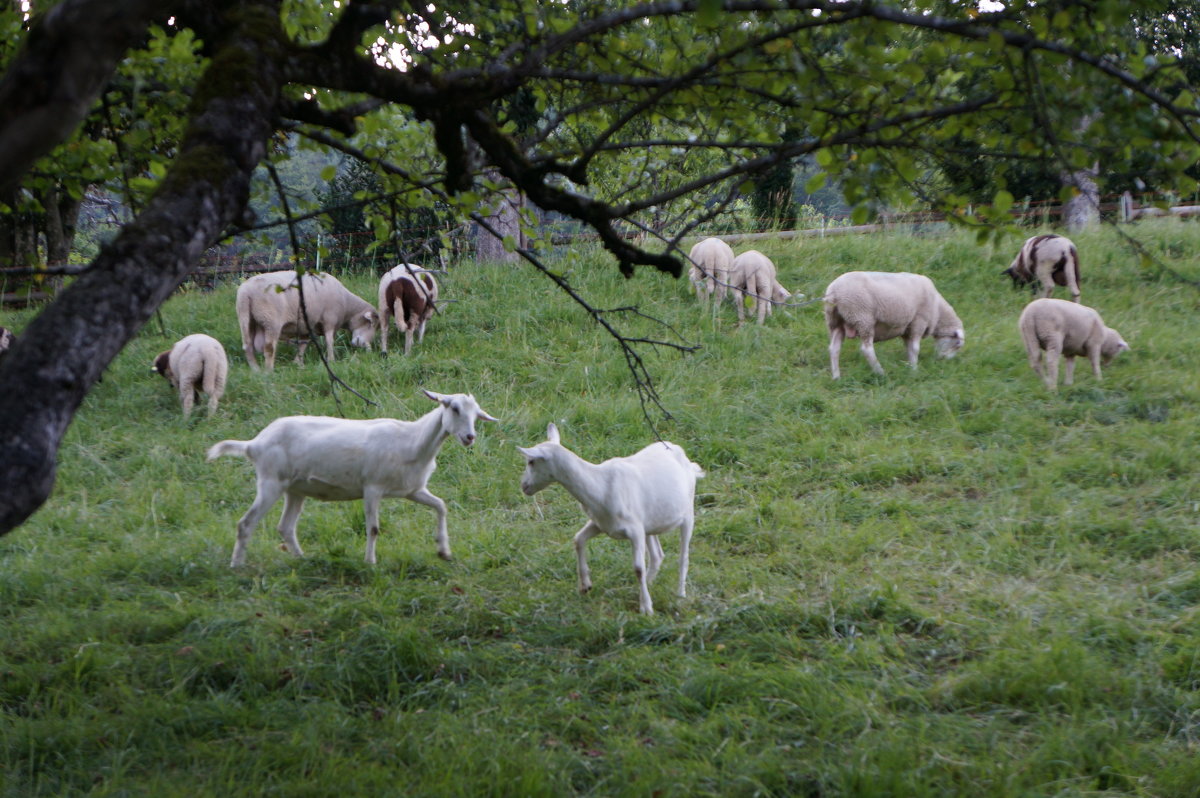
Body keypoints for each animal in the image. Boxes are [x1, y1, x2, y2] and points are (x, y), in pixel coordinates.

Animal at [208, 386, 499, 566]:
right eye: (453, 408)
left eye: (477, 415)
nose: (469, 437)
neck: (412, 441)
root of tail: (254, 444)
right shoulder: (372, 487)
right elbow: (373, 528)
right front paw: (370, 562)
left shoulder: (413, 490)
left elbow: (441, 506)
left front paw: (444, 551)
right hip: (270, 482)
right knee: (246, 523)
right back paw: (237, 565)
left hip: (295, 489)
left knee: (285, 527)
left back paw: (302, 559)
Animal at [236, 268, 376, 372]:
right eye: (372, 324)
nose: (368, 349)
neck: (347, 304)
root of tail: (247, 291)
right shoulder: (330, 320)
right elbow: (329, 341)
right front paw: (332, 361)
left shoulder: (308, 326)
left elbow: (303, 344)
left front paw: (298, 363)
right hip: (270, 320)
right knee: (269, 347)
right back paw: (268, 371)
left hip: (246, 318)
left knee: (247, 345)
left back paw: (256, 370)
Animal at [516, 422, 700, 614]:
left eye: (531, 461)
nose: (524, 486)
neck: (600, 485)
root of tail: (680, 452)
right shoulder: (601, 523)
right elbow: (578, 539)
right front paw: (585, 586)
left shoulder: (635, 530)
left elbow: (638, 568)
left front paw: (646, 608)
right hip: (650, 523)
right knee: (657, 555)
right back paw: (645, 586)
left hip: (687, 513)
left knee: (683, 557)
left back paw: (680, 595)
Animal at [825, 268, 964, 379]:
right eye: (957, 344)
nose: (944, 360)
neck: (938, 310)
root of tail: (834, 292)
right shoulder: (919, 321)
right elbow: (915, 348)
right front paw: (915, 370)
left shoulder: (907, 329)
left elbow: (909, 348)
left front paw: (910, 366)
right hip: (862, 317)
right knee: (867, 349)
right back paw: (880, 372)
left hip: (836, 321)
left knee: (834, 348)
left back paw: (836, 376)